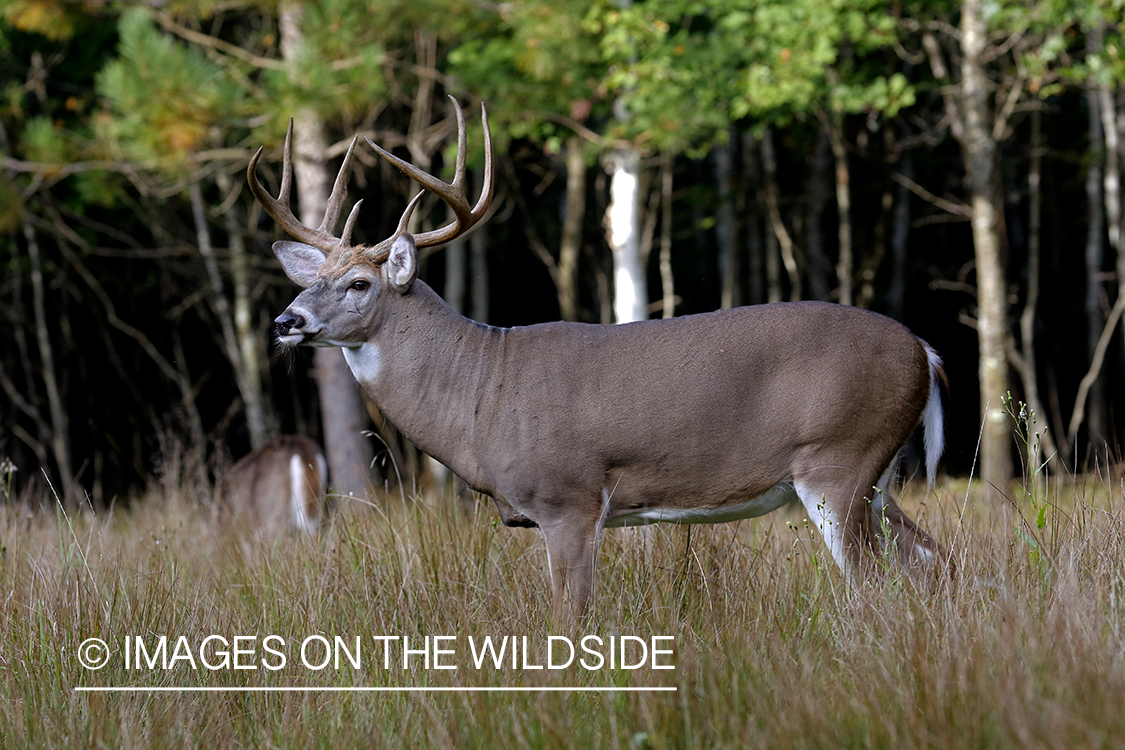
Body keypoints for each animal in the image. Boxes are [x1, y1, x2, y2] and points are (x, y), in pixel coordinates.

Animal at [248, 98, 949, 616]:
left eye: (359, 284)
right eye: (308, 281)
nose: (286, 322)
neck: (481, 390)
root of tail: (924, 350)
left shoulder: (570, 498)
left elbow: (570, 617)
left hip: (840, 460)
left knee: (877, 584)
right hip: (877, 478)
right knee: (933, 561)